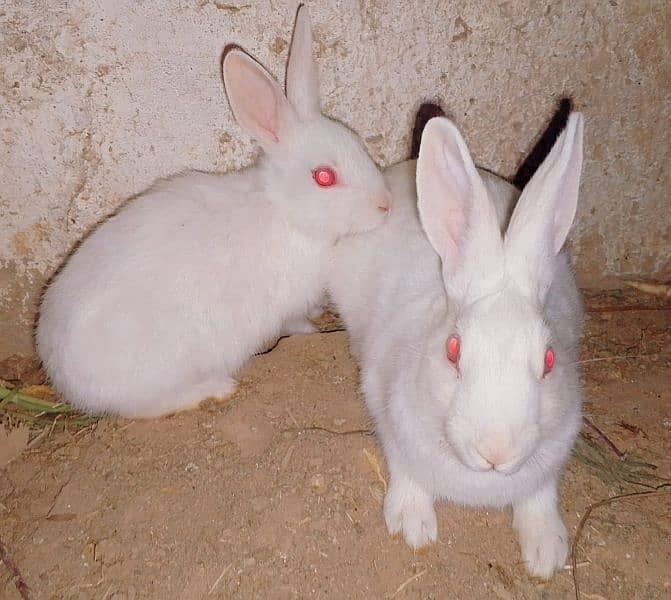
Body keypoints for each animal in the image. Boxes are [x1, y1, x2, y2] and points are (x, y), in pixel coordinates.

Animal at [36, 4, 392, 418]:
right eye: (324, 177)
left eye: (359, 144)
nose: (385, 205)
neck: (283, 211)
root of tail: (68, 383)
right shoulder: (286, 306)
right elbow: (295, 322)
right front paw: (312, 330)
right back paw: (216, 388)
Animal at [334, 111, 584, 576]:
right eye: (453, 351)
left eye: (549, 359)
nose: (496, 450)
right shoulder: (389, 418)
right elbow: (407, 473)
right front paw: (413, 526)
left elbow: (539, 497)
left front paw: (547, 553)